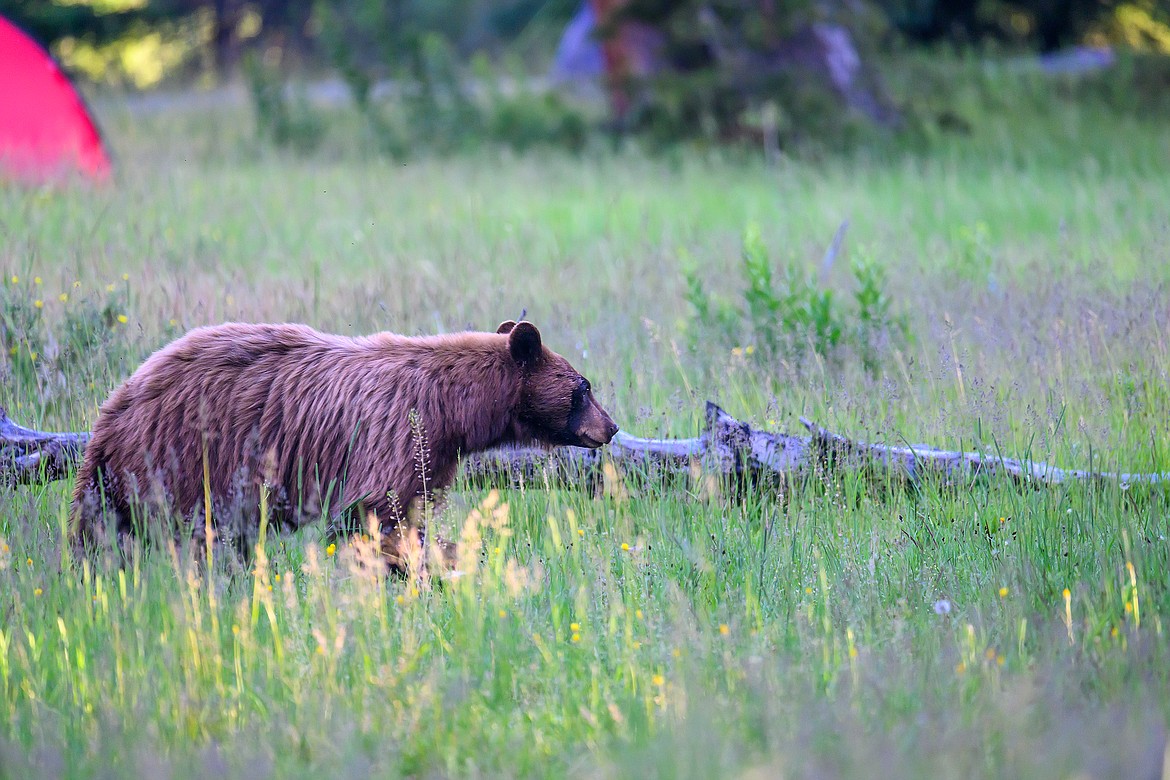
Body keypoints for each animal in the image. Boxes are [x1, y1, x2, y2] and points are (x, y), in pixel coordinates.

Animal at [70, 320, 622, 563]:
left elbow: (409, 508)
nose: (611, 428)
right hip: (184, 458)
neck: (453, 406)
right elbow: (375, 513)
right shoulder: (395, 431)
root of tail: (112, 410)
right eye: (584, 387)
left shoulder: (431, 452)